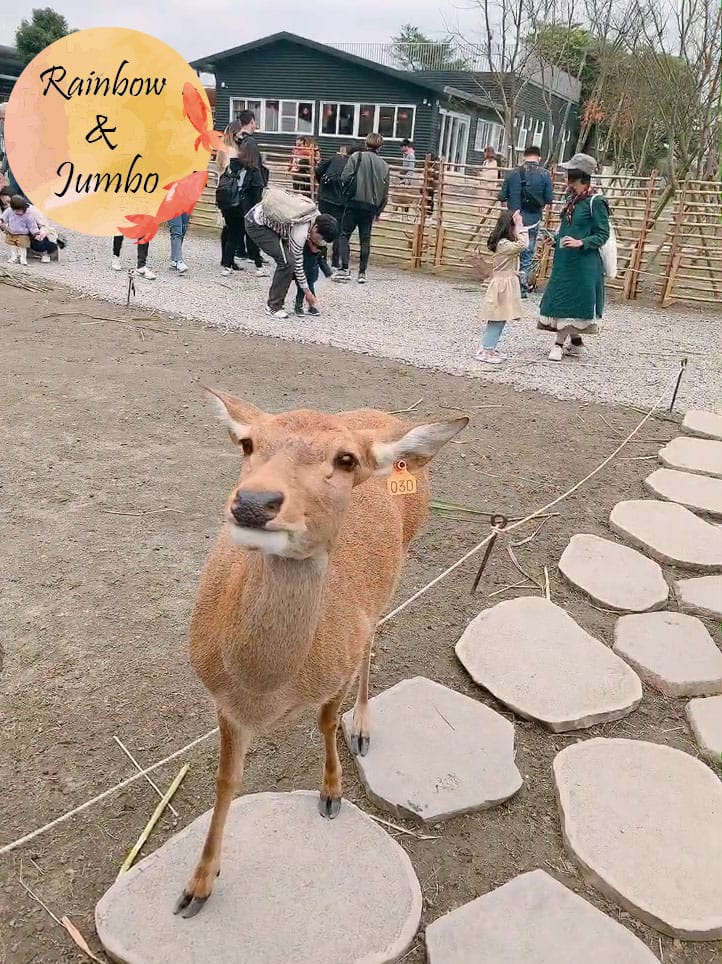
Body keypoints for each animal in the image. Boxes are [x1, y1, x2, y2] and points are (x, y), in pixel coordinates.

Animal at [174, 389, 467, 918]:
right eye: (247, 443)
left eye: (346, 459)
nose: (254, 503)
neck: (265, 688)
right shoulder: (223, 701)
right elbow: (226, 779)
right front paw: (197, 886)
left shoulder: (338, 668)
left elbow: (326, 722)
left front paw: (332, 792)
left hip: (396, 572)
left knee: (372, 640)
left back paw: (364, 727)